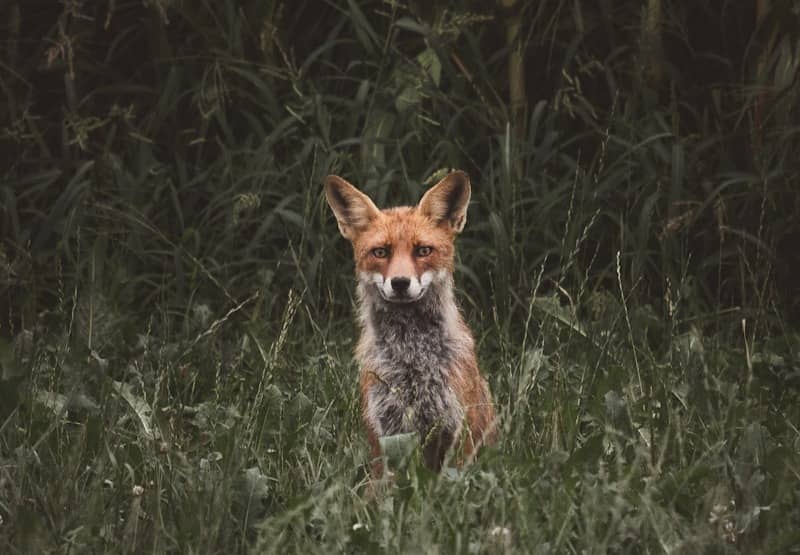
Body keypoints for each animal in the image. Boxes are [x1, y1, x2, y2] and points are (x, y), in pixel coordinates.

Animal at [324, 170, 497, 478]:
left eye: (423, 250)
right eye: (380, 252)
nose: (400, 282)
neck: (411, 359)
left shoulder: (457, 429)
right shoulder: (385, 434)